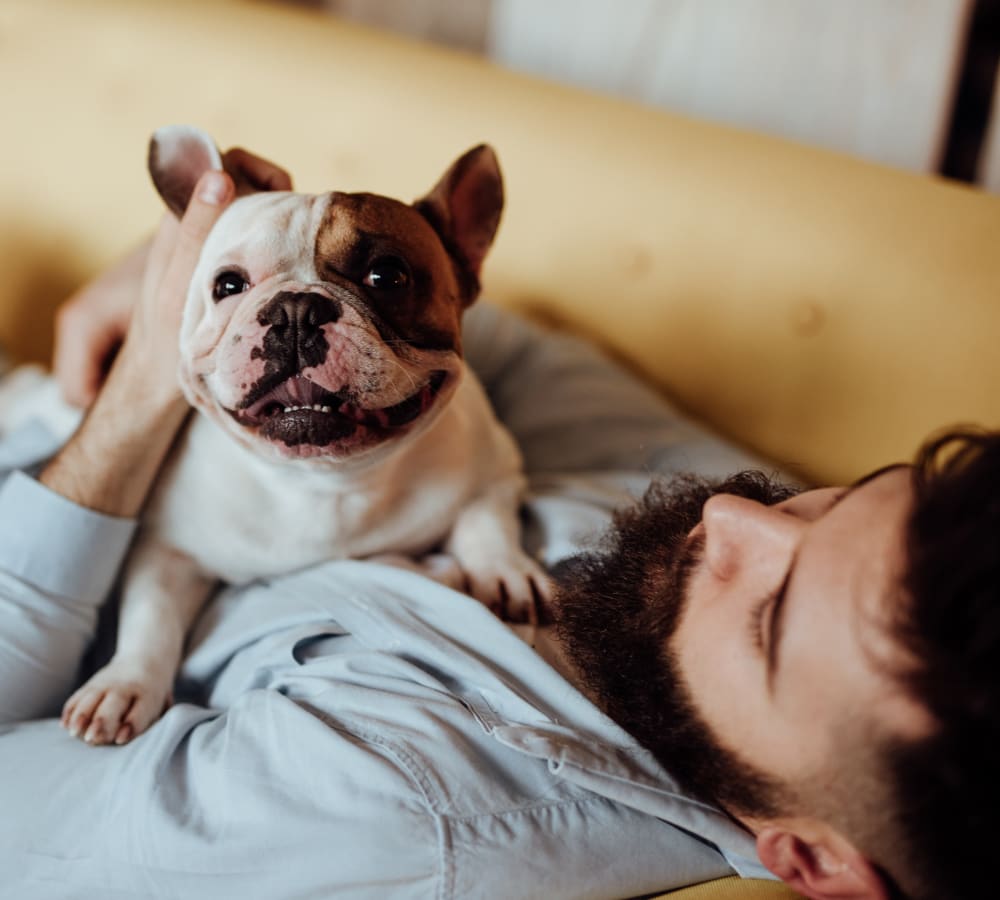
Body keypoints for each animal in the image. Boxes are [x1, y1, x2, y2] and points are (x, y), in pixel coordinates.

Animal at [11, 126, 552, 744]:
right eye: (228, 284)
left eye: (387, 276)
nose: (295, 309)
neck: (324, 481)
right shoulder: (167, 549)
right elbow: (151, 616)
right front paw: (123, 684)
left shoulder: (495, 465)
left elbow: (487, 517)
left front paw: (503, 572)